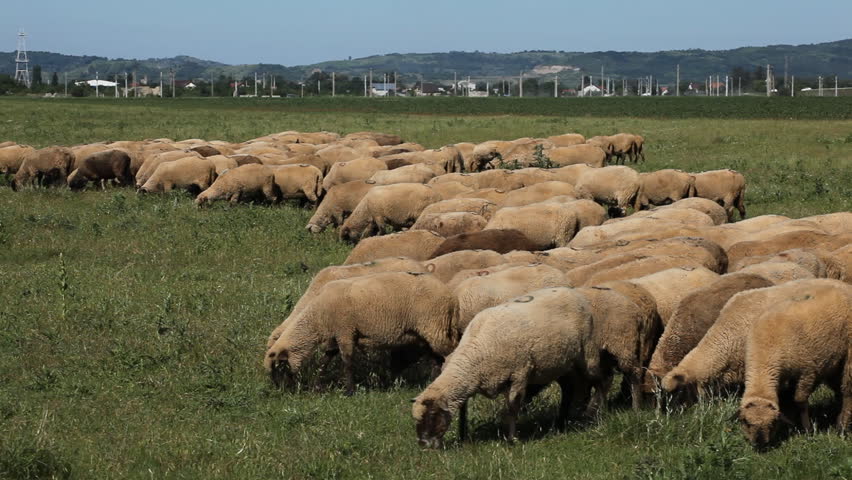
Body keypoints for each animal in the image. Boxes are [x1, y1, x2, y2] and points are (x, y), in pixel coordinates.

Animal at [265, 271, 459, 395]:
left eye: (279, 366)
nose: (280, 390)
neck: (318, 318)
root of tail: (451, 298)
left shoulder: (345, 331)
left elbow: (347, 361)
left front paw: (349, 390)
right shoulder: (337, 334)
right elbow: (325, 360)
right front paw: (316, 385)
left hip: (434, 324)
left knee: (450, 351)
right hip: (428, 330)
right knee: (434, 356)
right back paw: (432, 381)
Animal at [738, 280, 852, 447]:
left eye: (772, 423)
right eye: (746, 422)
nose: (760, 444)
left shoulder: (807, 371)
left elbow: (800, 400)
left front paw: (807, 429)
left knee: (848, 392)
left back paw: (842, 427)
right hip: (835, 362)